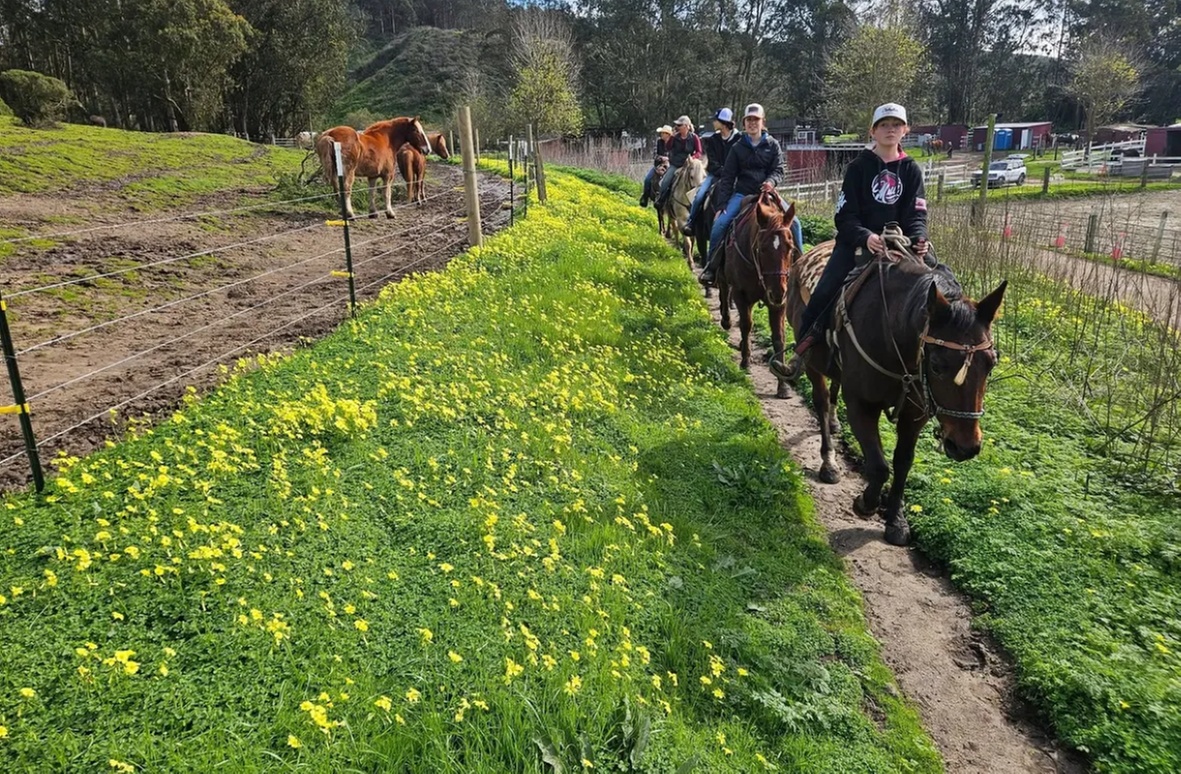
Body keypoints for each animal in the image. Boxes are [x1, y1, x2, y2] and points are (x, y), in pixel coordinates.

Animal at [717, 191, 799, 400]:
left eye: (790, 247)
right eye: (762, 248)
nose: (778, 292)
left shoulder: (779, 304)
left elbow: (779, 337)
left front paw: (782, 385)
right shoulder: (740, 294)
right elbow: (746, 325)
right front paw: (745, 362)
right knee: (723, 289)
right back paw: (726, 321)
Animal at [785, 232, 1007, 545]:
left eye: (991, 363)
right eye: (936, 365)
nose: (965, 447)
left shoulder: (915, 414)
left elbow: (903, 462)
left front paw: (896, 519)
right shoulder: (861, 405)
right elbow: (879, 466)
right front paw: (866, 503)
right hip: (814, 364)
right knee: (821, 401)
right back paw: (829, 462)